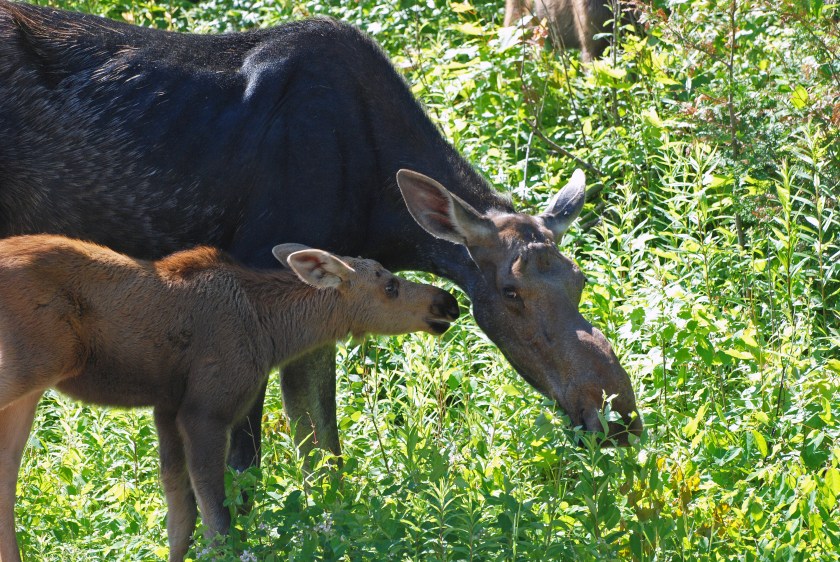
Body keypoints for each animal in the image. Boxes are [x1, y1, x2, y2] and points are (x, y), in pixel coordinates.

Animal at [0, 234, 459, 562]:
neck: (272, 332)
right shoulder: (206, 411)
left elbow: (181, 519)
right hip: (26, 371)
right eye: (391, 285)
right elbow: (218, 520)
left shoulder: (168, 410)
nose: (448, 301)